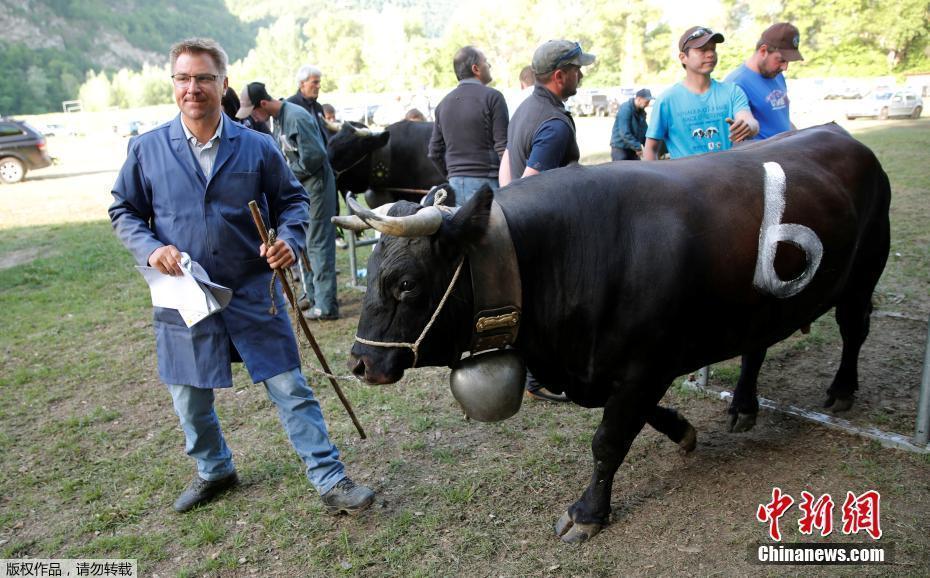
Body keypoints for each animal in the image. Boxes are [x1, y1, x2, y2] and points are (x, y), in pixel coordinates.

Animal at [344, 122, 888, 540]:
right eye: (370, 276)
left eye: (406, 283)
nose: (360, 363)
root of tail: (841, 133)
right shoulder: (612, 371)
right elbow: (634, 418)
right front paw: (683, 430)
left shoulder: (646, 365)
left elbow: (607, 440)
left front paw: (587, 514)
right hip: (762, 305)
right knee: (758, 346)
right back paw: (743, 406)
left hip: (863, 275)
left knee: (853, 331)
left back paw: (842, 390)